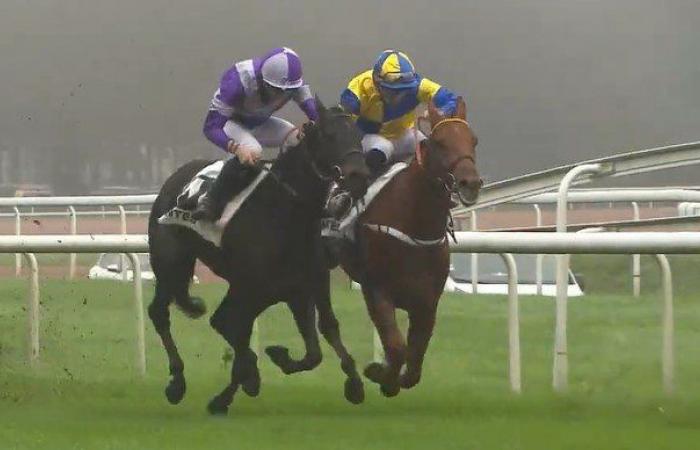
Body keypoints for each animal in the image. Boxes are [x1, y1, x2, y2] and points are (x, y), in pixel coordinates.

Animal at [148, 102, 372, 414]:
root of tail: (174, 177)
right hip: (171, 264)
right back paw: (177, 382)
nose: (359, 176)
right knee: (162, 313)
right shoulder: (252, 287)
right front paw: (242, 382)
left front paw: (353, 383)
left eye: (357, 135)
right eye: (329, 135)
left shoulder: (305, 285)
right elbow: (235, 332)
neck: (285, 214)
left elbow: (321, 339)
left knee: (223, 323)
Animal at [340, 96, 482, 396]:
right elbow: (396, 347)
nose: (471, 183)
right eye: (439, 142)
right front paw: (380, 375)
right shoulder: (377, 290)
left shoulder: (427, 302)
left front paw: (391, 377)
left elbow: (416, 359)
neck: (414, 229)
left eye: (473, 140)